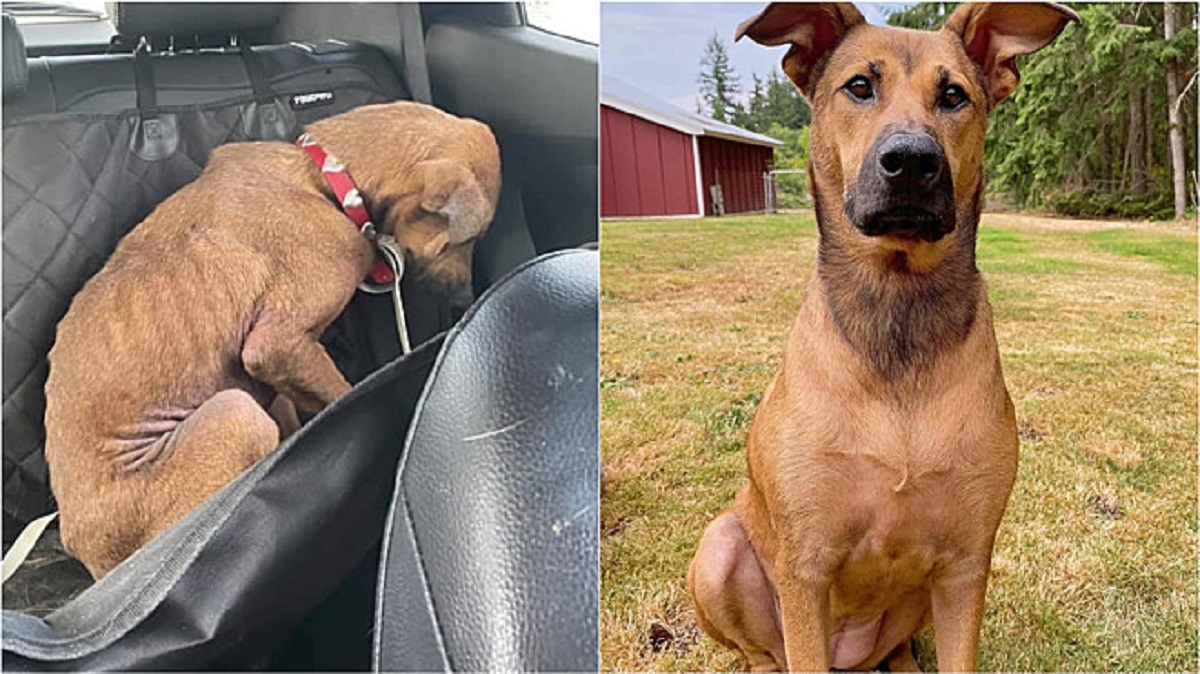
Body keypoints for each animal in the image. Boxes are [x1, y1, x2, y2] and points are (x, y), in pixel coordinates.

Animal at [46, 99, 501, 578]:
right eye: (464, 239)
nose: (465, 300)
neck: (322, 174)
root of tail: (91, 559)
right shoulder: (276, 345)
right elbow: (342, 394)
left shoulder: (281, 369)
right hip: (237, 413)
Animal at [686, 3, 1080, 666]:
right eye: (859, 87)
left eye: (954, 95)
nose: (913, 160)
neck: (898, 314)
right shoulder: (806, 567)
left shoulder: (965, 566)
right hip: (719, 551)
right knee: (764, 653)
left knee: (893, 648)